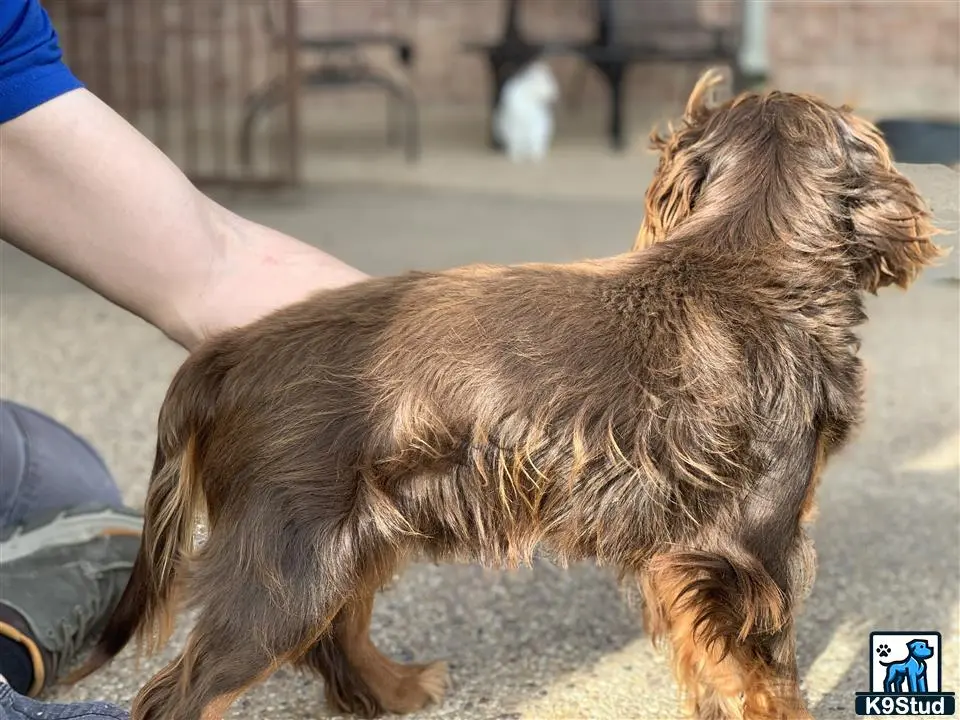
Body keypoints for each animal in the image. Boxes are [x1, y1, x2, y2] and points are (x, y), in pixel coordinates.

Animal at [75, 69, 944, 720]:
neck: (748, 264)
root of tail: (225, 352)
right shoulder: (754, 550)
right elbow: (770, 682)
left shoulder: (687, 561)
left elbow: (712, 672)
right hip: (286, 563)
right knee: (184, 695)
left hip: (353, 537)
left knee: (336, 635)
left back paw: (399, 689)